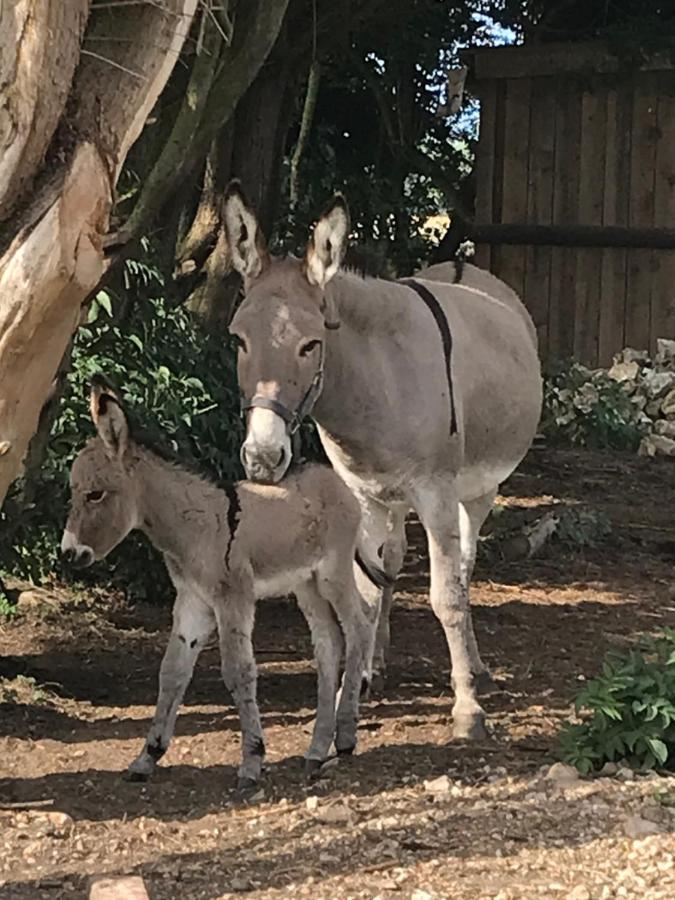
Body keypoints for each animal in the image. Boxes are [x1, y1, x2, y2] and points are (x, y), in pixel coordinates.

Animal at [60, 384, 378, 792]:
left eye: (96, 495)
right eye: (74, 493)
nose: (68, 554)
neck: (193, 528)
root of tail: (332, 477)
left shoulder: (232, 598)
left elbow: (238, 671)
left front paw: (252, 760)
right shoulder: (192, 601)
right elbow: (171, 672)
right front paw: (147, 757)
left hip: (332, 573)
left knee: (359, 627)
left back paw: (346, 736)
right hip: (305, 584)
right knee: (328, 644)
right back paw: (317, 749)